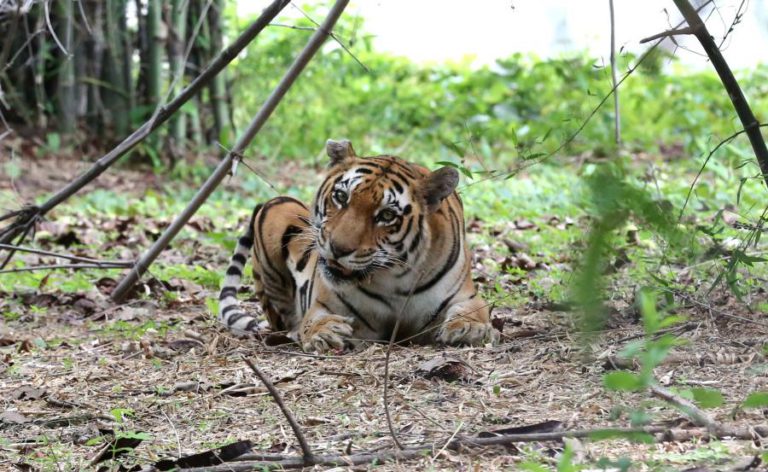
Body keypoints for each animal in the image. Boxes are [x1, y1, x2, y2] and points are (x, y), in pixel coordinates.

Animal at [217, 139, 497, 353]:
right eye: (341, 197)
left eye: (386, 215)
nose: (338, 249)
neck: (395, 280)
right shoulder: (324, 305)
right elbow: (313, 321)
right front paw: (325, 332)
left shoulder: (466, 297)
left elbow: (474, 313)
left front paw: (466, 328)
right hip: (276, 212)